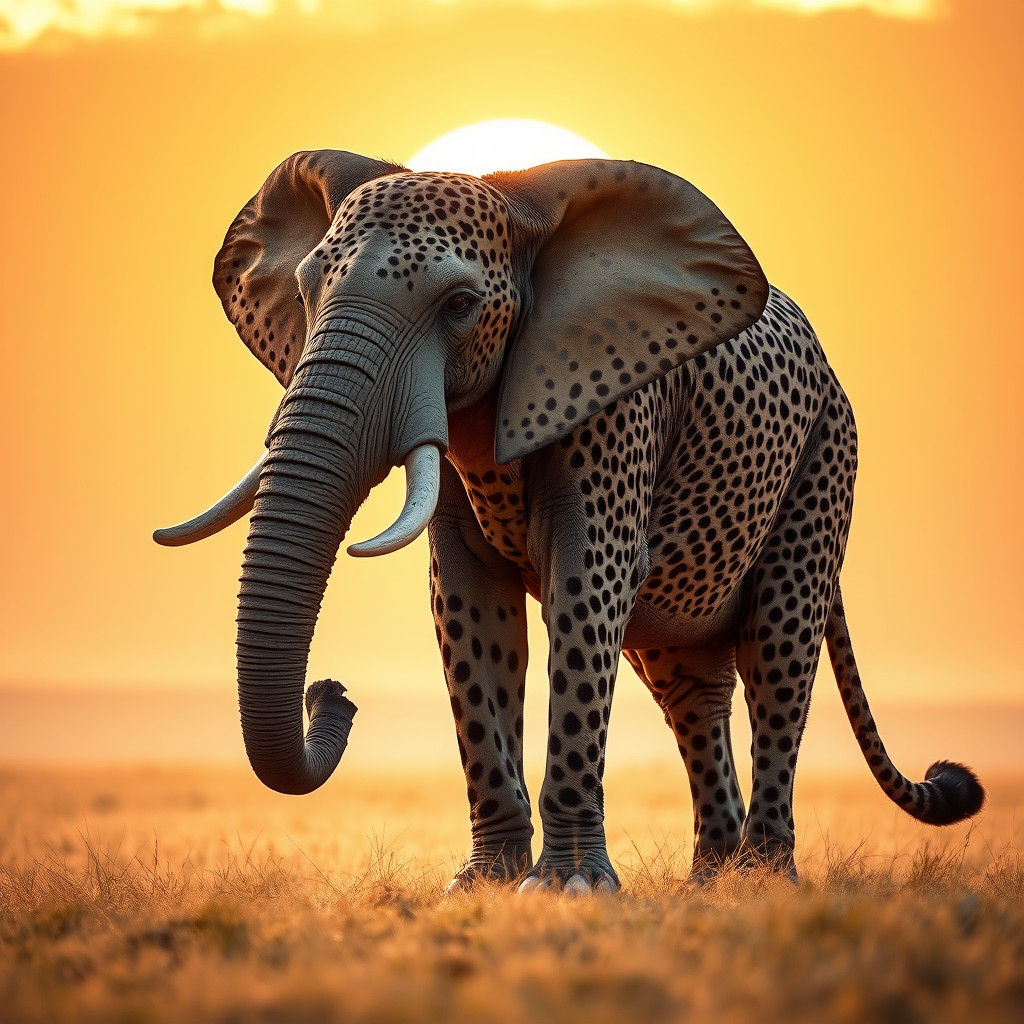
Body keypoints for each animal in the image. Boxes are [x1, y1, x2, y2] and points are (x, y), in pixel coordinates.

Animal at [155, 150, 984, 891]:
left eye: (459, 306)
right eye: (305, 291)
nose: (332, 693)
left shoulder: (612, 410)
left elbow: (584, 591)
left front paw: (571, 887)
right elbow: (470, 611)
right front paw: (484, 885)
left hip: (824, 461)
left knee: (777, 651)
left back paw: (761, 882)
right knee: (690, 687)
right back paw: (707, 882)